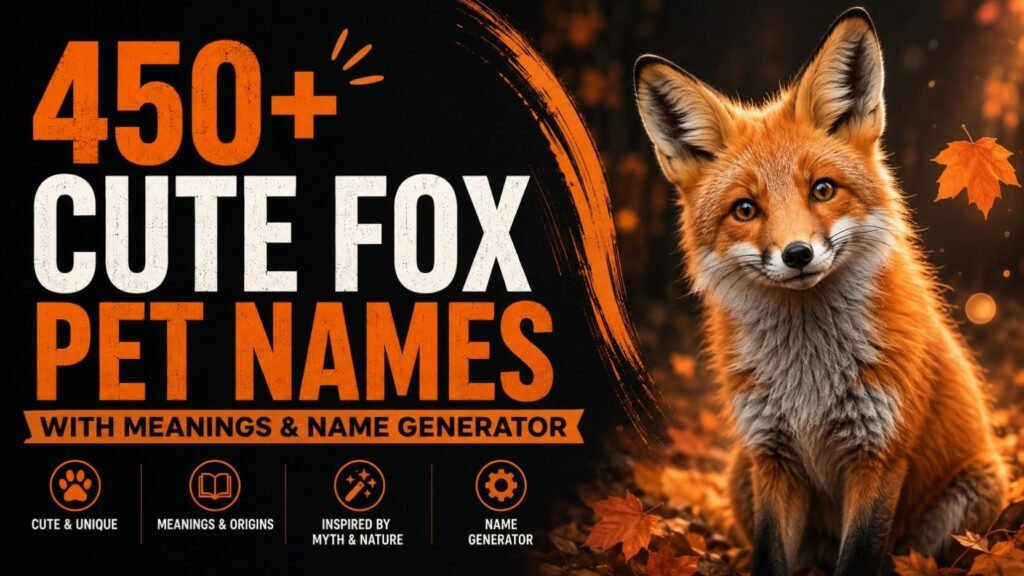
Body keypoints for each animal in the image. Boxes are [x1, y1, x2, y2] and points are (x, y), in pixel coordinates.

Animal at [633, 8, 1008, 576]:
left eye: (823, 189)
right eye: (745, 209)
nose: (797, 254)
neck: (809, 382)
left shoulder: (878, 455)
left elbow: (859, 557)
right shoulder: (773, 455)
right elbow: (769, 556)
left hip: (965, 504)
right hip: (741, 473)